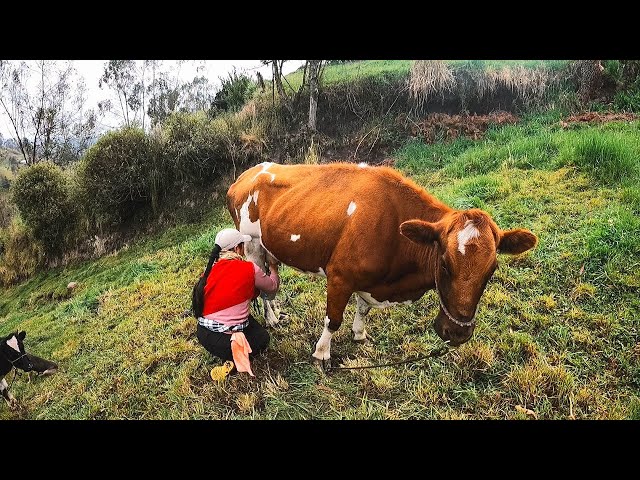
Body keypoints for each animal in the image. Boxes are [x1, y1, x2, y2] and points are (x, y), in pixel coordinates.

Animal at [228, 160, 536, 368]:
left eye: (491, 270)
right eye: (444, 264)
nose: (457, 333)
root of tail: (247, 173)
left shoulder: (370, 281)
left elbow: (363, 309)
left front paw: (360, 334)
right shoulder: (339, 275)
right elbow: (333, 320)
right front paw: (321, 353)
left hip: (270, 247)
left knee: (271, 280)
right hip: (252, 244)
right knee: (261, 282)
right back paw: (271, 319)